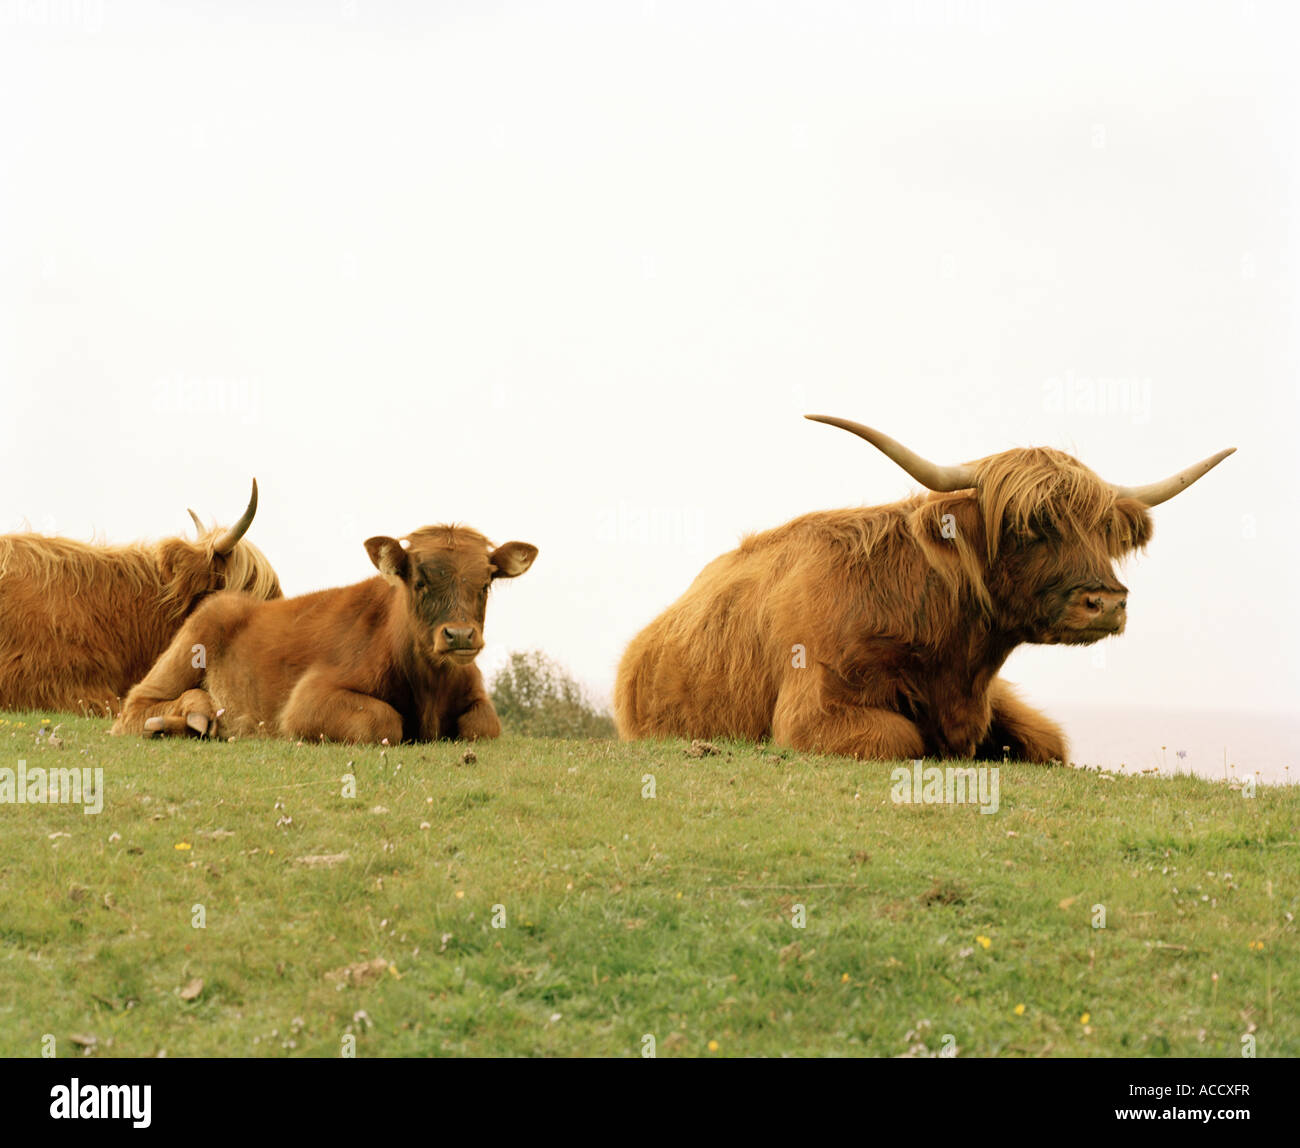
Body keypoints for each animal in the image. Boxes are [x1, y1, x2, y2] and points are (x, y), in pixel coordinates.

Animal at [111, 524, 537, 744]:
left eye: (486, 583)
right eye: (419, 581)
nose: (460, 636)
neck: (430, 688)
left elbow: (482, 725)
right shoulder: (306, 702)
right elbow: (384, 721)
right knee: (134, 706)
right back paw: (187, 716)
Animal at [614, 415, 1235, 763]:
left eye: (1104, 530)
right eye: (1027, 525)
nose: (1105, 602)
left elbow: (1049, 743)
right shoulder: (814, 712)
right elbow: (903, 739)